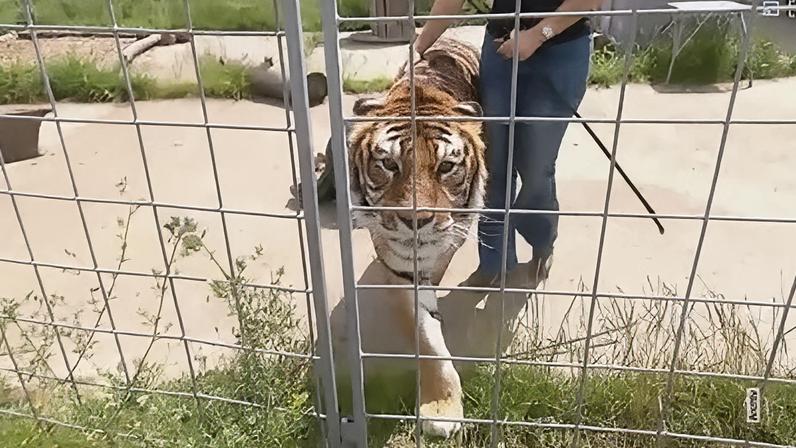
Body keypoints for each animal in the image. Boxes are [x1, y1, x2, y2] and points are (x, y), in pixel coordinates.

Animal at [330, 37, 487, 439]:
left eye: (446, 166)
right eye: (388, 164)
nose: (415, 221)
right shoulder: (403, 272)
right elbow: (429, 343)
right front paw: (442, 408)